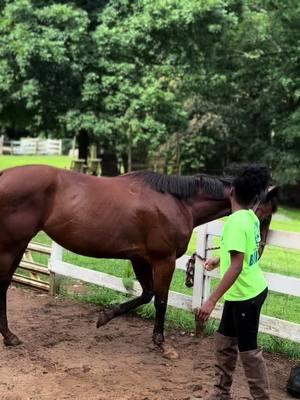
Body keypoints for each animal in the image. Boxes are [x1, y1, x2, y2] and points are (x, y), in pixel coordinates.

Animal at [0, 166, 276, 356]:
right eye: (265, 214)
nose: (259, 250)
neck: (177, 202)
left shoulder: (140, 259)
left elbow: (146, 295)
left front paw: (105, 316)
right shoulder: (163, 260)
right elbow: (161, 300)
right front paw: (162, 344)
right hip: (11, 246)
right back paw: (9, 336)